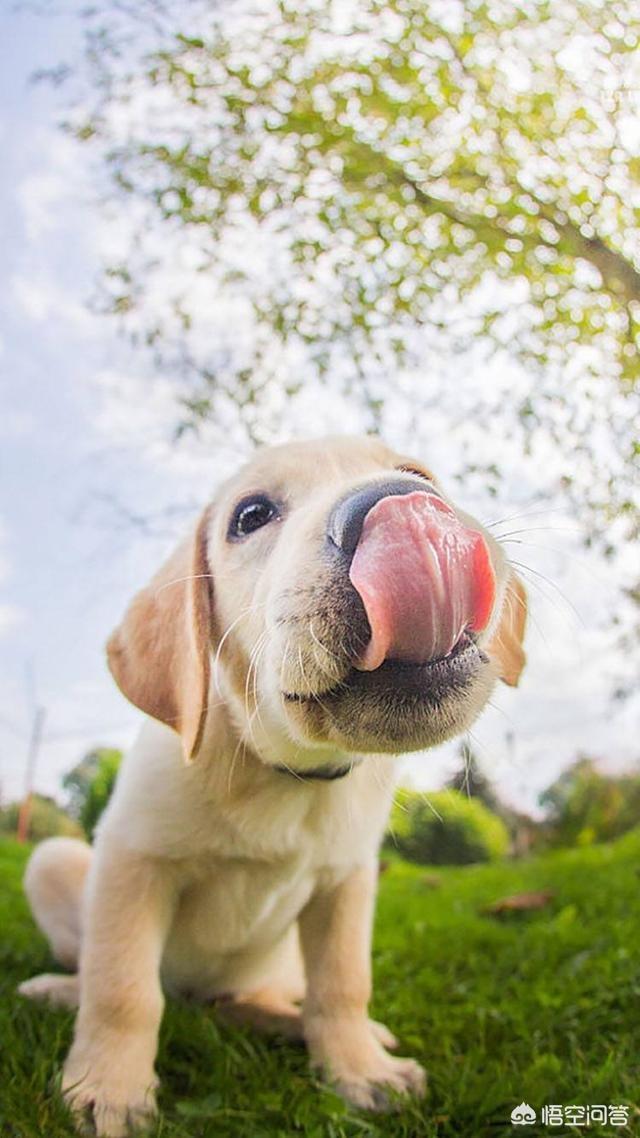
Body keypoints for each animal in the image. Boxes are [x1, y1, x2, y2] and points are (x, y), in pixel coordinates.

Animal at [22, 434, 526, 1138]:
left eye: (418, 474)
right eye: (252, 515)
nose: (401, 503)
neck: (287, 774)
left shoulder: (347, 883)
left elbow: (342, 983)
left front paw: (358, 1068)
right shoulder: (132, 862)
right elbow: (123, 988)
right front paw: (108, 1089)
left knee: (268, 997)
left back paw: (298, 1022)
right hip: (52, 860)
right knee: (107, 974)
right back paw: (57, 992)